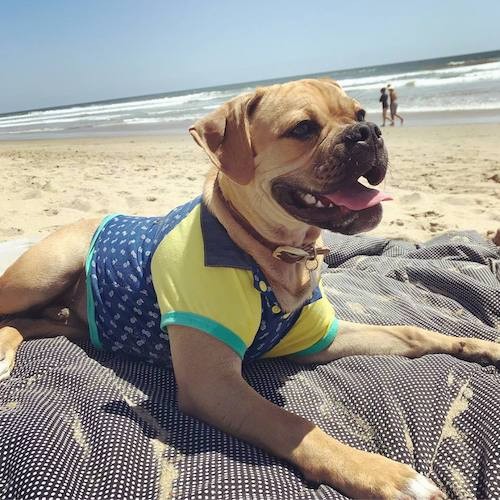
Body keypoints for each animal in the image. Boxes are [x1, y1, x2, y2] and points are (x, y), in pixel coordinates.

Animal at [0, 78, 500, 496]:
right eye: (303, 128)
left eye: (360, 112)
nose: (369, 132)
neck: (274, 254)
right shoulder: (214, 384)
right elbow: (293, 426)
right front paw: (386, 476)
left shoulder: (321, 339)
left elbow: (414, 333)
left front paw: (481, 347)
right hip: (45, 271)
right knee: (9, 310)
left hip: (73, 323)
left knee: (31, 323)